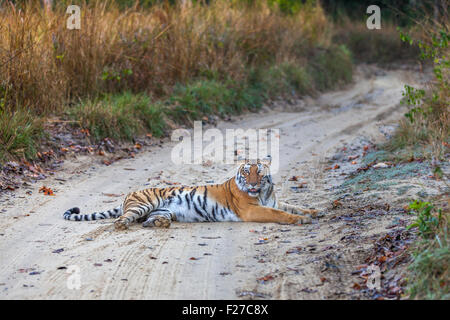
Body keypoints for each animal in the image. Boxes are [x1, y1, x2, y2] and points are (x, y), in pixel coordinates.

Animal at [63, 158, 318, 229]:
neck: (263, 193)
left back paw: (158, 225)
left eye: (259, 171)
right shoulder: (251, 210)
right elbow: (280, 214)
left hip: (163, 211)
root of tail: (128, 195)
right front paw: (300, 220)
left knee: (148, 220)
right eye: (247, 172)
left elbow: (291, 206)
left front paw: (314, 212)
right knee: (122, 219)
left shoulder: (273, 201)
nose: (253, 184)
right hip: (143, 204)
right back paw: (122, 225)